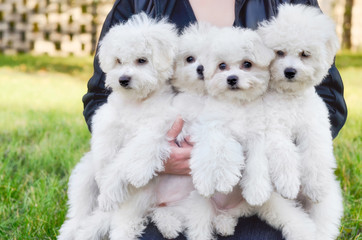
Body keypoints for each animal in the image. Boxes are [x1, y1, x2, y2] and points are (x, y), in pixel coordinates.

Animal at [58, 13, 180, 240]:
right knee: (79, 214)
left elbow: (126, 158)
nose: (123, 79)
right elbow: (106, 154)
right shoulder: (107, 123)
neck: (136, 102)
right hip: (84, 178)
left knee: (124, 223)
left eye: (142, 60)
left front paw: (115, 183)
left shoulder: (156, 127)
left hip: (137, 202)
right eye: (118, 61)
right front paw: (105, 180)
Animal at [258, 3, 342, 238]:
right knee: (295, 219)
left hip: (328, 206)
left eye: (305, 54)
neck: (291, 98)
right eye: (280, 52)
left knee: (322, 226)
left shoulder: (315, 127)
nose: (290, 71)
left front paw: (315, 186)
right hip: (275, 202)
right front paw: (288, 182)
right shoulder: (273, 129)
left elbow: (315, 154)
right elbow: (284, 152)